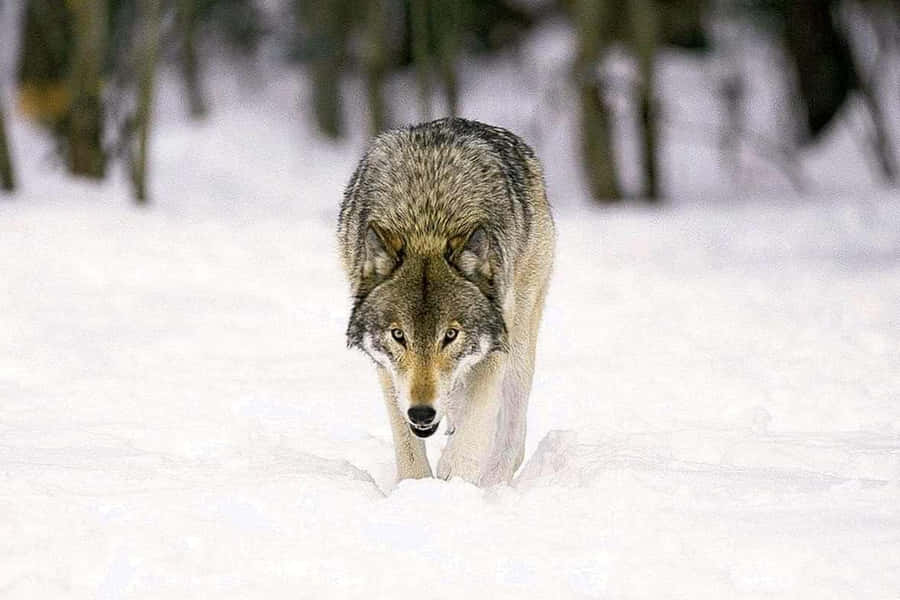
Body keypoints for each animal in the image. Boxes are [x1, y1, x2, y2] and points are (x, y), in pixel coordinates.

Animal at [338, 118, 554, 486]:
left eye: (450, 335)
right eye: (399, 335)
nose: (422, 412)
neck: (428, 219)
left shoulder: (497, 343)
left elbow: (473, 434)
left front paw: (455, 487)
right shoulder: (388, 369)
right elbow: (407, 445)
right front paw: (418, 489)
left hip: (521, 337)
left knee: (512, 432)